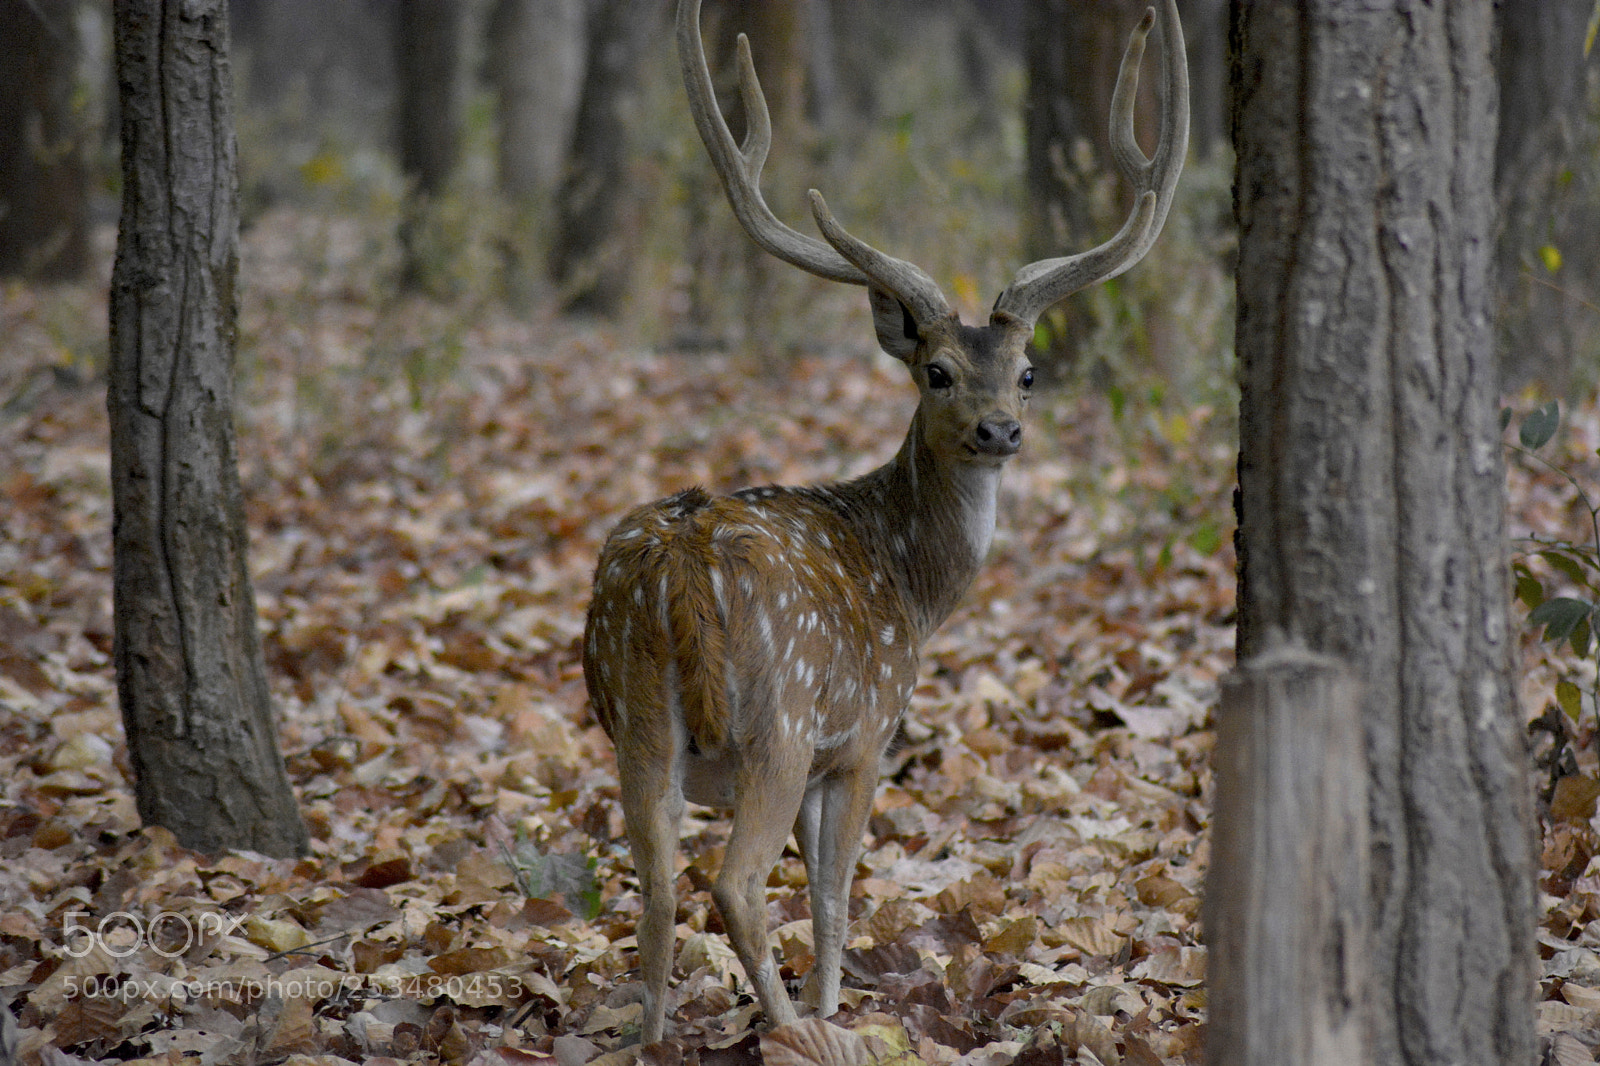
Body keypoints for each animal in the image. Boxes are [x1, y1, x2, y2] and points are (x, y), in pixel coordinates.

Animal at [582, 0, 1186, 1043]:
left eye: (1028, 372)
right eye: (935, 371)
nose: (1000, 429)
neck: (913, 585)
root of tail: (684, 557)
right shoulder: (864, 733)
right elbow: (833, 894)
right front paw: (836, 1007)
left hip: (637, 718)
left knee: (655, 886)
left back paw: (653, 1040)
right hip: (779, 718)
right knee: (733, 883)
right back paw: (796, 1031)